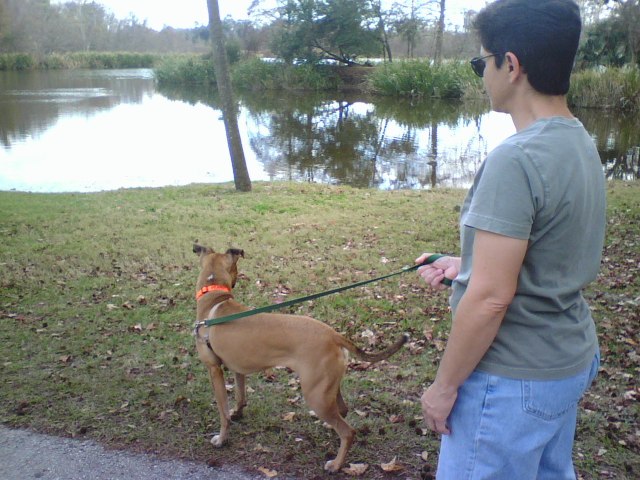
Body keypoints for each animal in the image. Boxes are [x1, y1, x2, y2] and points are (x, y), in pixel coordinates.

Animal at [192, 244, 408, 473]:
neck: (214, 298)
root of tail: (333, 334)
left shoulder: (214, 370)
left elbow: (223, 412)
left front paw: (221, 439)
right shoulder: (238, 369)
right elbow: (240, 397)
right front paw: (238, 414)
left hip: (315, 394)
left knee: (348, 432)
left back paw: (336, 464)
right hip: (326, 388)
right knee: (342, 411)